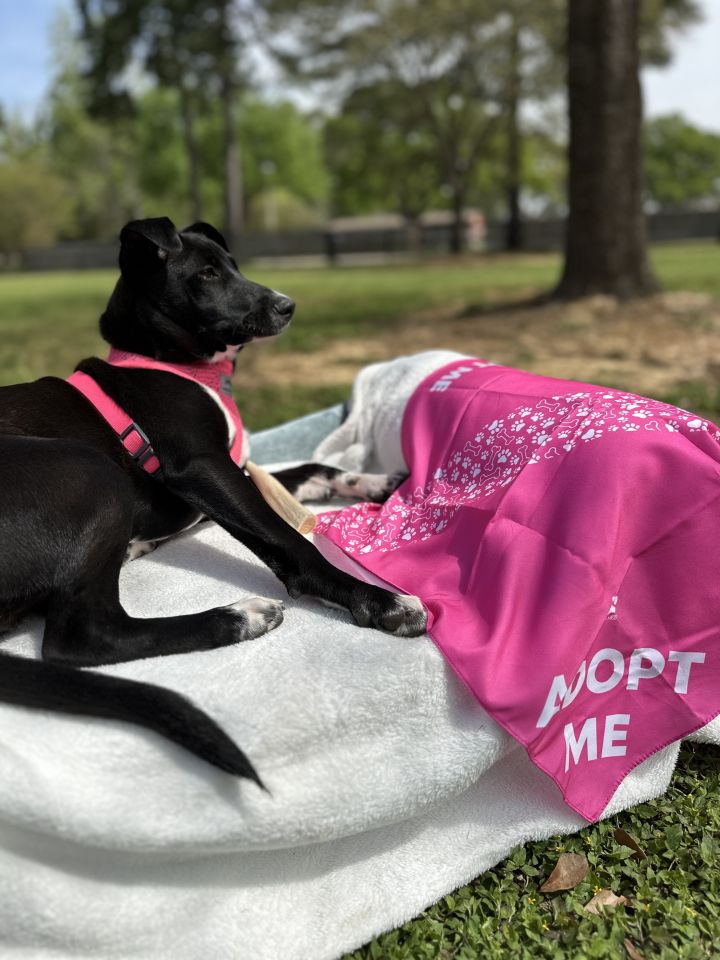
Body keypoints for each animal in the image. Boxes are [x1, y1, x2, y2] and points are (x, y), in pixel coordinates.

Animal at [0, 219, 428, 788]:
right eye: (206, 274)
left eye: (234, 266)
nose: (286, 305)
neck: (176, 364)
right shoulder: (203, 467)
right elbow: (288, 539)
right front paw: (377, 600)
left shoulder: (238, 468)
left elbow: (314, 470)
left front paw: (378, 483)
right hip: (92, 471)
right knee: (81, 641)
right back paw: (238, 617)